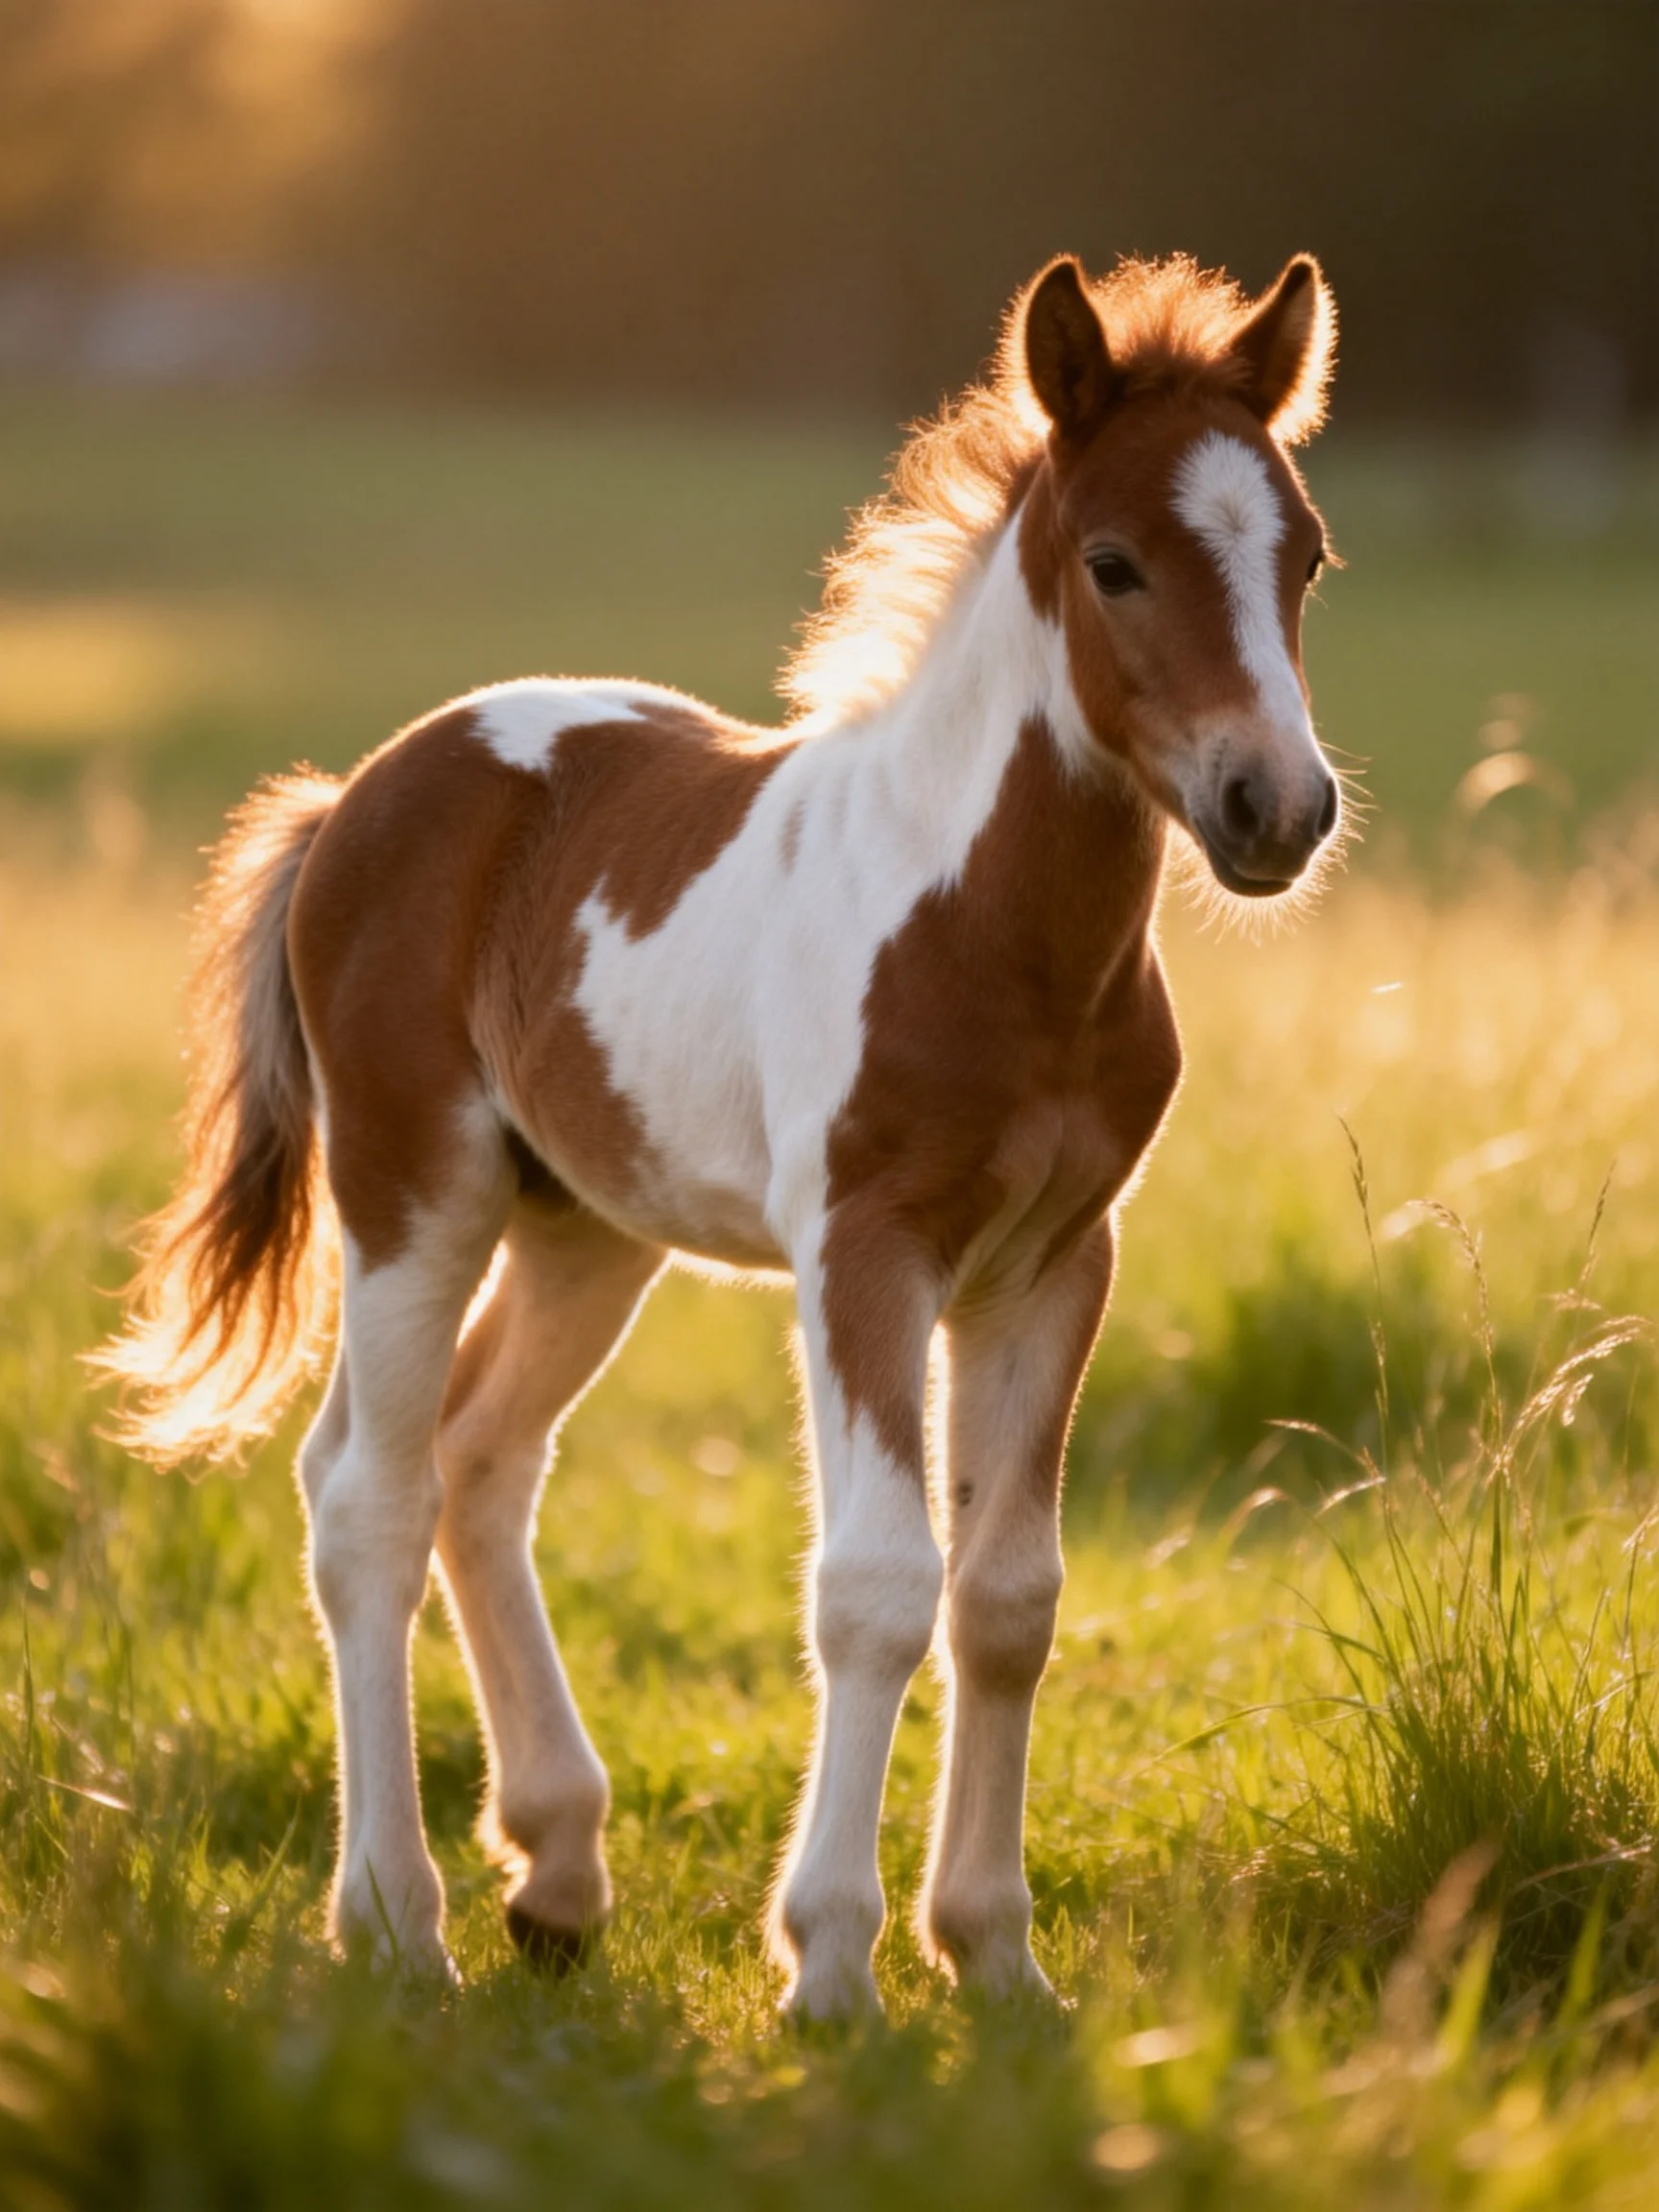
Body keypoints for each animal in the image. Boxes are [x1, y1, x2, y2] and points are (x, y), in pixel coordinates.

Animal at [101, 249, 1343, 2019]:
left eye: (1302, 555)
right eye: (1114, 563)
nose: (1276, 809)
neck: (994, 927)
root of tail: (357, 792)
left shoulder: (1054, 1259)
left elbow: (1008, 1595)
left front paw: (995, 1955)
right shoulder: (864, 1250)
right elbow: (878, 1585)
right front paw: (830, 1963)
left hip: (585, 1224)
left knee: (480, 1456)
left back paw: (555, 1871)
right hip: (412, 1189)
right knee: (366, 1496)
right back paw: (396, 1918)